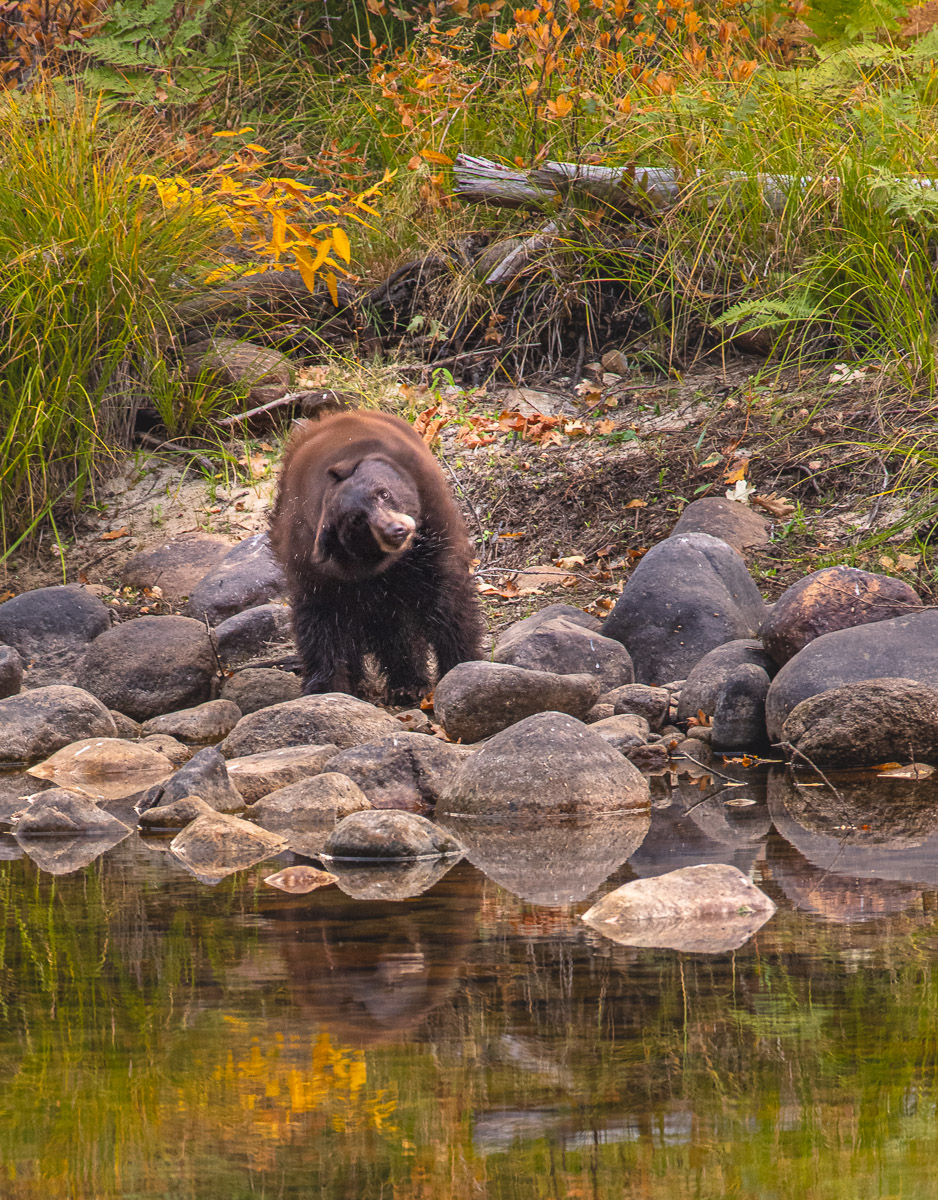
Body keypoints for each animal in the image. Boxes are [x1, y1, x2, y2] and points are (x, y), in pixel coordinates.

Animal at [266, 410, 482, 700]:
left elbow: (448, 598)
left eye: (384, 493)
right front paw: (325, 688)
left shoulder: (434, 518)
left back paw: (407, 684)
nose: (396, 531)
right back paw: (397, 683)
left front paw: (462, 663)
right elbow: (319, 620)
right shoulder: (311, 562)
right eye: (356, 521)